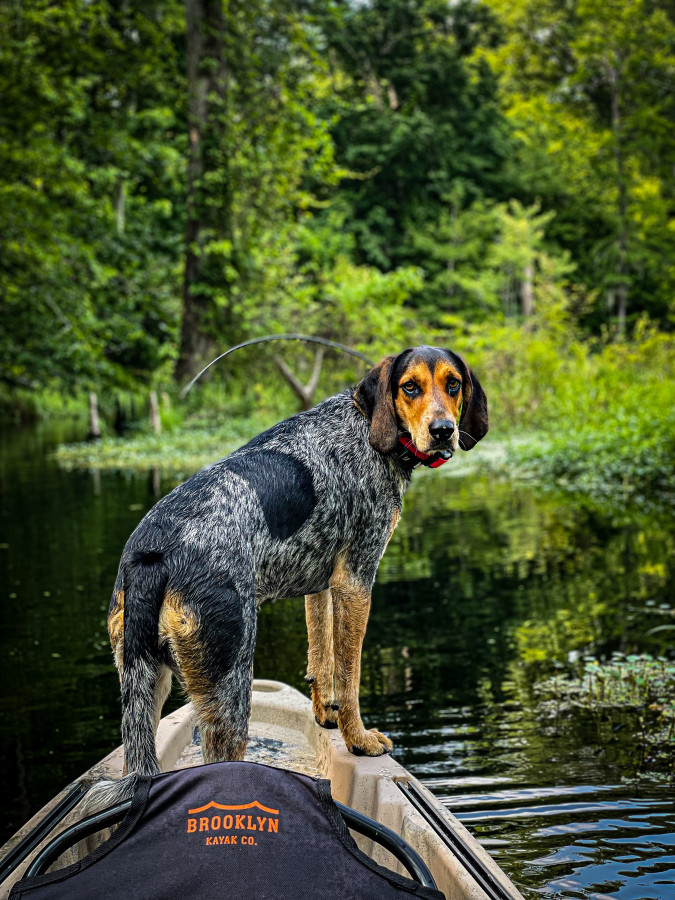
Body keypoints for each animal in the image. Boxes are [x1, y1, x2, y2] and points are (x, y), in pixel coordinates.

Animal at [104, 344, 486, 788]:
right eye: (410, 387)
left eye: (453, 384)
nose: (443, 430)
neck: (365, 429)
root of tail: (155, 550)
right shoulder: (356, 580)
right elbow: (349, 675)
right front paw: (358, 739)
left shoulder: (319, 583)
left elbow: (321, 656)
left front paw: (326, 716)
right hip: (230, 686)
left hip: (144, 687)